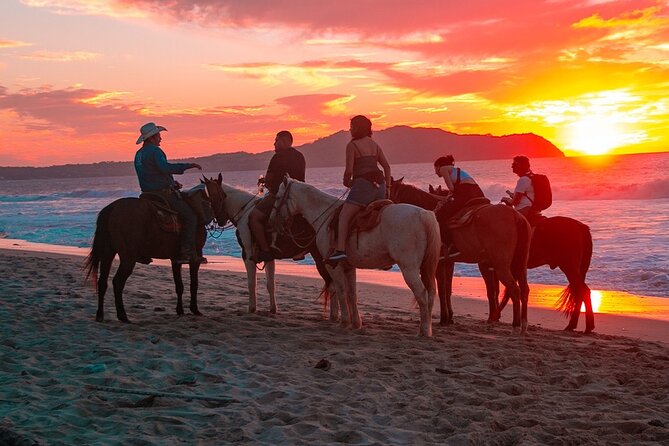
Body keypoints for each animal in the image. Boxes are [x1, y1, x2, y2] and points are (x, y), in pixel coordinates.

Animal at [201, 172, 332, 316]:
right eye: (207, 197)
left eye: (214, 196)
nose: (219, 220)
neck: (244, 213)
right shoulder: (269, 257)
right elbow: (270, 285)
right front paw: (273, 309)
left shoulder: (247, 256)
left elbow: (252, 283)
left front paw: (252, 308)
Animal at [268, 176, 440, 336]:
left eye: (278, 197)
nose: (271, 220)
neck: (326, 216)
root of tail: (423, 214)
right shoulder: (348, 267)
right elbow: (352, 294)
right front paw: (356, 323)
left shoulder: (333, 266)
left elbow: (341, 291)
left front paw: (344, 322)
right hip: (425, 267)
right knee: (431, 293)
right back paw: (428, 328)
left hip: (408, 268)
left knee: (422, 294)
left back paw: (424, 330)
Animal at [388, 179, 592, 332]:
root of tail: (581, 227)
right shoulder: (454, 262)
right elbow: (455, 289)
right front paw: (453, 317)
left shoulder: (456, 263)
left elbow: (475, 290)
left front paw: (448, 317)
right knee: (533, 289)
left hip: (565, 266)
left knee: (580, 291)